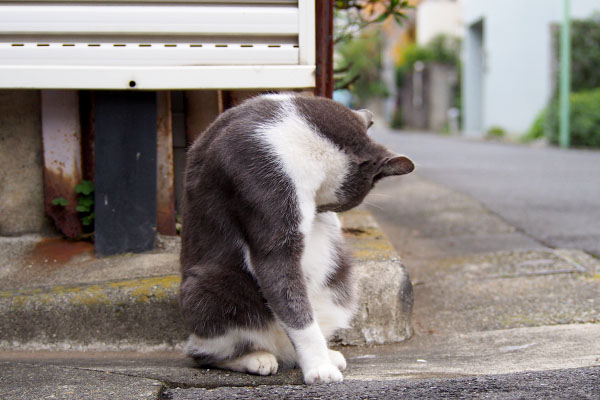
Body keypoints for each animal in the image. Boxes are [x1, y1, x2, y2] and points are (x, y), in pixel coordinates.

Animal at [178, 94, 412, 384]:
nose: (324, 213)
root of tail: (283, 352)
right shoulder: (262, 176)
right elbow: (297, 310)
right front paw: (319, 368)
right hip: (209, 287)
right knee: (203, 353)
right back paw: (257, 359)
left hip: (341, 279)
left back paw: (325, 354)